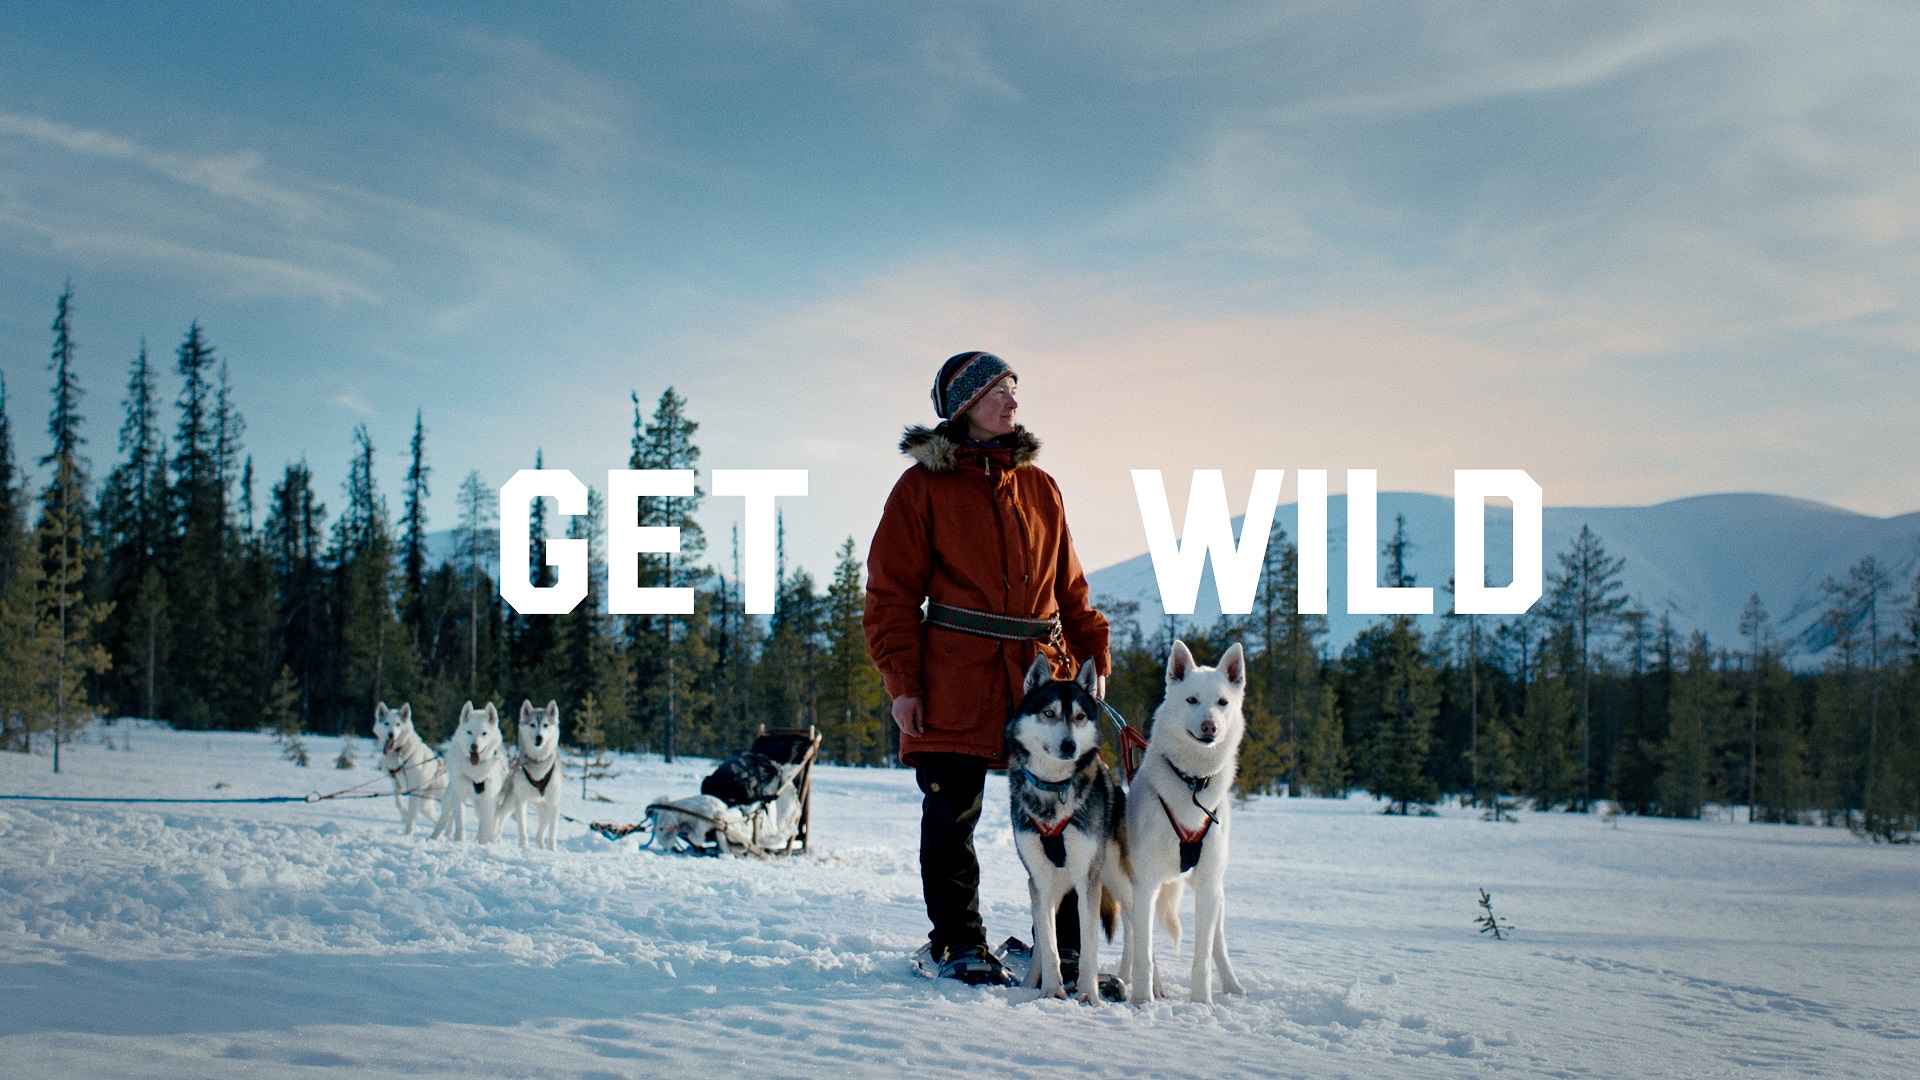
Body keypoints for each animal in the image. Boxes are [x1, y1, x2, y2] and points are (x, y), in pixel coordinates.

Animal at [368, 699, 443, 834]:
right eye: (386, 723)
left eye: (398, 724)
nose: (391, 734)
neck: (399, 753)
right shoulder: (395, 783)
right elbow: (398, 803)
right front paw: (404, 815)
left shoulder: (414, 789)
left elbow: (412, 814)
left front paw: (408, 833)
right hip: (424, 804)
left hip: (440, 795)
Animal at [432, 699, 510, 841]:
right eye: (469, 732)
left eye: (484, 733)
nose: (474, 746)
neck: (476, 771)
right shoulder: (459, 795)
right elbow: (460, 822)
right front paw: (460, 841)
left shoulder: (489, 798)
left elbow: (486, 826)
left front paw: (483, 843)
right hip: (450, 797)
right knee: (443, 819)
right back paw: (433, 837)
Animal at [495, 699, 560, 849]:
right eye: (532, 725)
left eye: (545, 725)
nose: (539, 737)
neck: (538, 764)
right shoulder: (521, 801)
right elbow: (523, 828)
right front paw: (524, 846)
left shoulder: (554, 802)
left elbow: (553, 832)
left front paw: (552, 849)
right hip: (510, 803)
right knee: (499, 817)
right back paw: (494, 838)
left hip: (544, 809)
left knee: (540, 832)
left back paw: (541, 845)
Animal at [1006, 657, 1121, 999]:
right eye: (1049, 713)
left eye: (1080, 717)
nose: (1069, 746)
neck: (1054, 788)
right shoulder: (1040, 882)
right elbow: (1048, 944)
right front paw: (1051, 991)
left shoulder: (1088, 881)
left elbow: (1089, 946)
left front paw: (1088, 994)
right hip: (1049, 889)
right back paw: (1030, 983)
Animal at [1121, 638, 1244, 999]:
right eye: (1191, 699)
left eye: (1222, 702)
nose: (1209, 727)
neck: (1192, 782)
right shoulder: (1145, 885)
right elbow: (1144, 954)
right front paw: (1142, 1001)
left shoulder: (1207, 886)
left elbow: (1202, 957)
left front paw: (1202, 1004)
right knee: (1133, 940)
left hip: (1215, 893)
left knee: (1217, 942)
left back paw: (1232, 984)